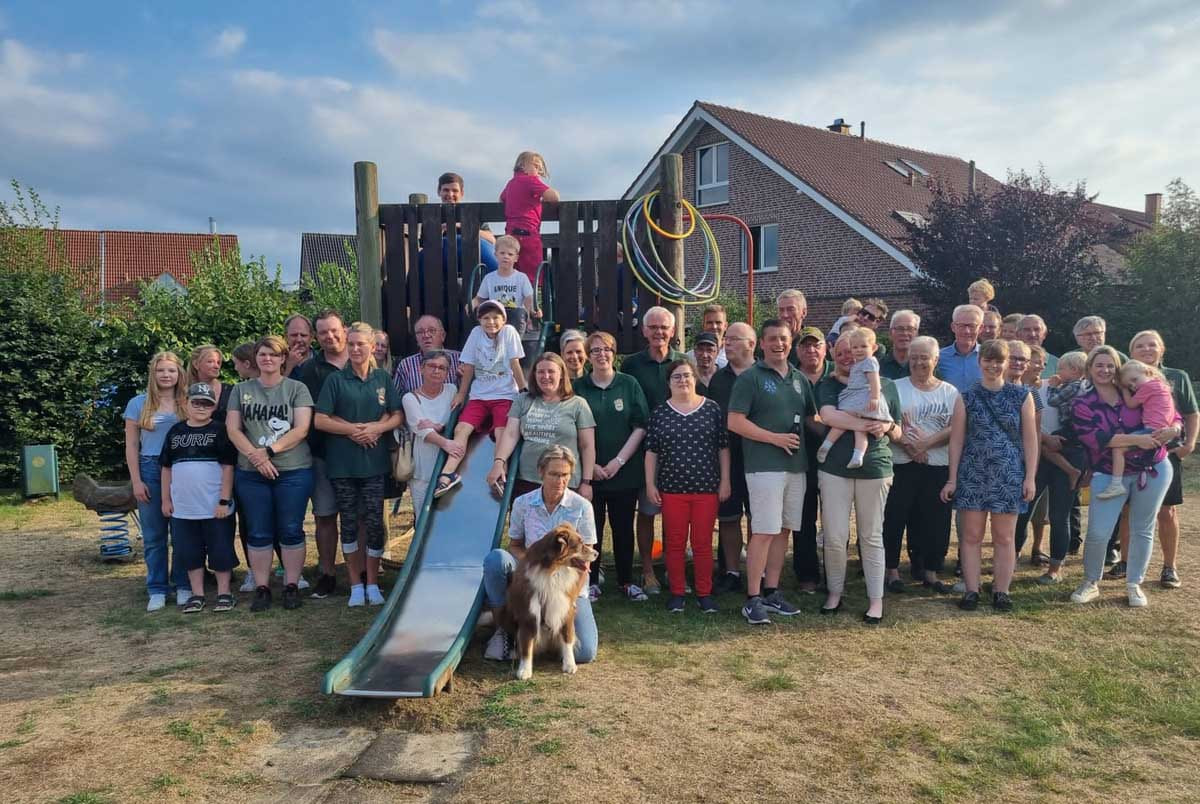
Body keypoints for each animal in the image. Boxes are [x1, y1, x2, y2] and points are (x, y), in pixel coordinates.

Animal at [496, 525, 595, 681]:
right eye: (579, 544)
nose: (597, 553)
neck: (553, 571)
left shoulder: (566, 610)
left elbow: (567, 639)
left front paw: (570, 665)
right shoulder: (529, 614)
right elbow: (526, 645)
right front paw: (524, 671)